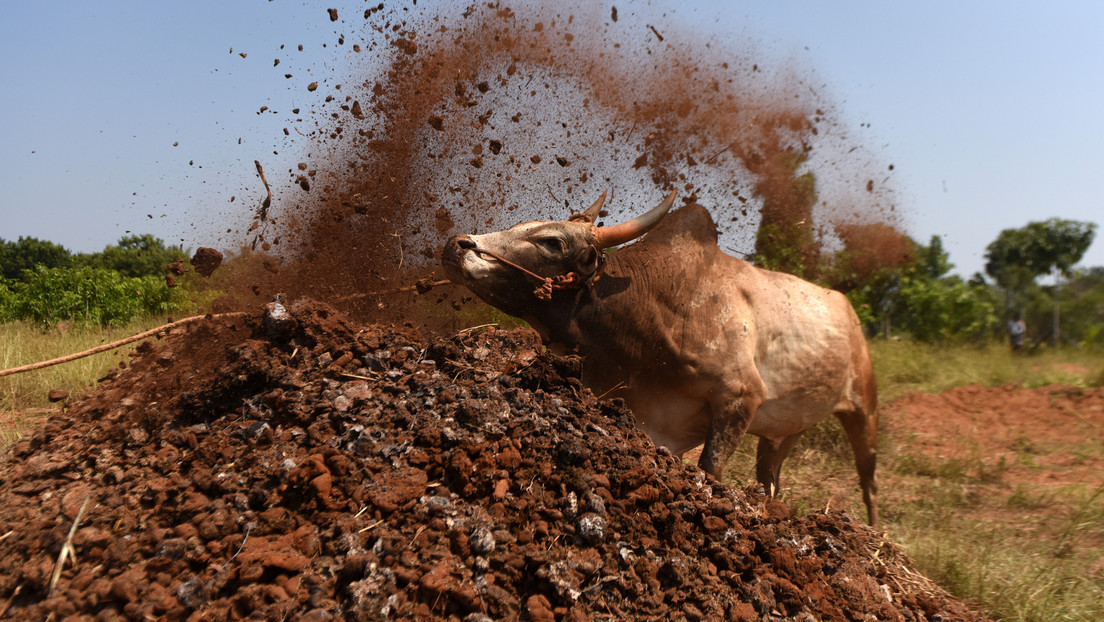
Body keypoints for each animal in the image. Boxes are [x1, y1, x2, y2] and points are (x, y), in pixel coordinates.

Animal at [439, 191, 878, 525]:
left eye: (552, 241)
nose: (456, 244)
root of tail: (848, 308)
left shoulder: (739, 399)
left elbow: (709, 471)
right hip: (786, 431)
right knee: (772, 477)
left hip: (863, 411)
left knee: (869, 483)